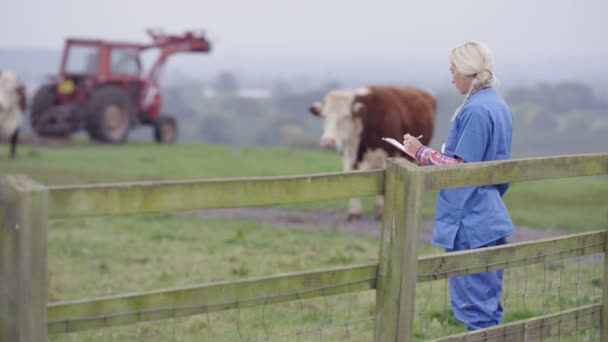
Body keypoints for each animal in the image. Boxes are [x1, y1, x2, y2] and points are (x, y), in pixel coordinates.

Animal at [308, 85, 436, 219]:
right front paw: (354, 212)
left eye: (346, 116)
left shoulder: (388, 155)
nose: (328, 142)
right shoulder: (349, 157)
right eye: (324, 116)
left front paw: (380, 211)